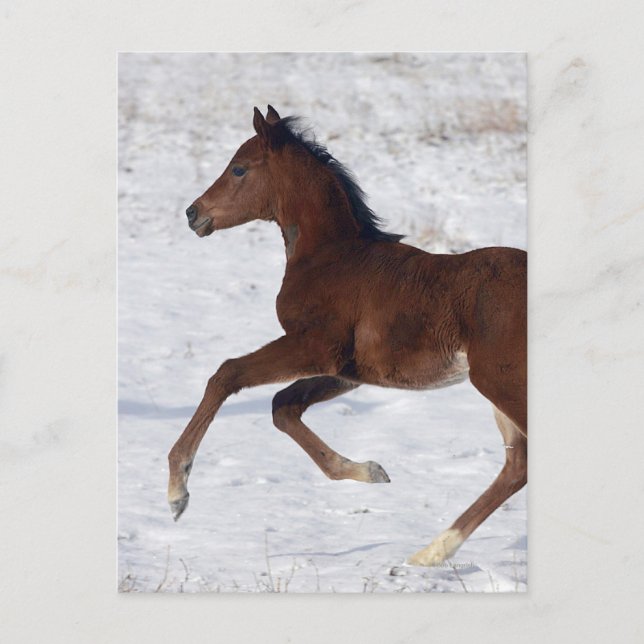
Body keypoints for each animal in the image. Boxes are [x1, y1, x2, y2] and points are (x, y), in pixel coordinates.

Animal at [168, 105, 527, 566]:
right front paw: (371, 471)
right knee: (516, 466)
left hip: (500, 382)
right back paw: (429, 554)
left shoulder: (314, 346)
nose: (193, 213)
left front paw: (177, 492)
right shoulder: (347, 370)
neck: (331, 256)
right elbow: (283, 406)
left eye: (238, 169)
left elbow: (226, 375)